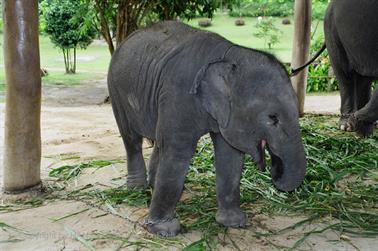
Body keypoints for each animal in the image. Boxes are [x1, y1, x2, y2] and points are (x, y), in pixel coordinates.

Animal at [107, 20, 308, 236]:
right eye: (273, 118)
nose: (275, 170)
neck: (229, 55)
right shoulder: (179, 94)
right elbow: (179, 152)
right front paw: (165, 230)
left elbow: (230, 154)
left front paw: (234, 223)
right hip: (116, 91)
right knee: (131, 139)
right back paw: (136, 188)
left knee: (160, 140)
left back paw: (154, 184)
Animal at [324, 0, 378, 135]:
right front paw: (353, 122)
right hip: (332, 31)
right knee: (344, 74)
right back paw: (347, 125)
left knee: (363, 79)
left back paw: (364, 130)